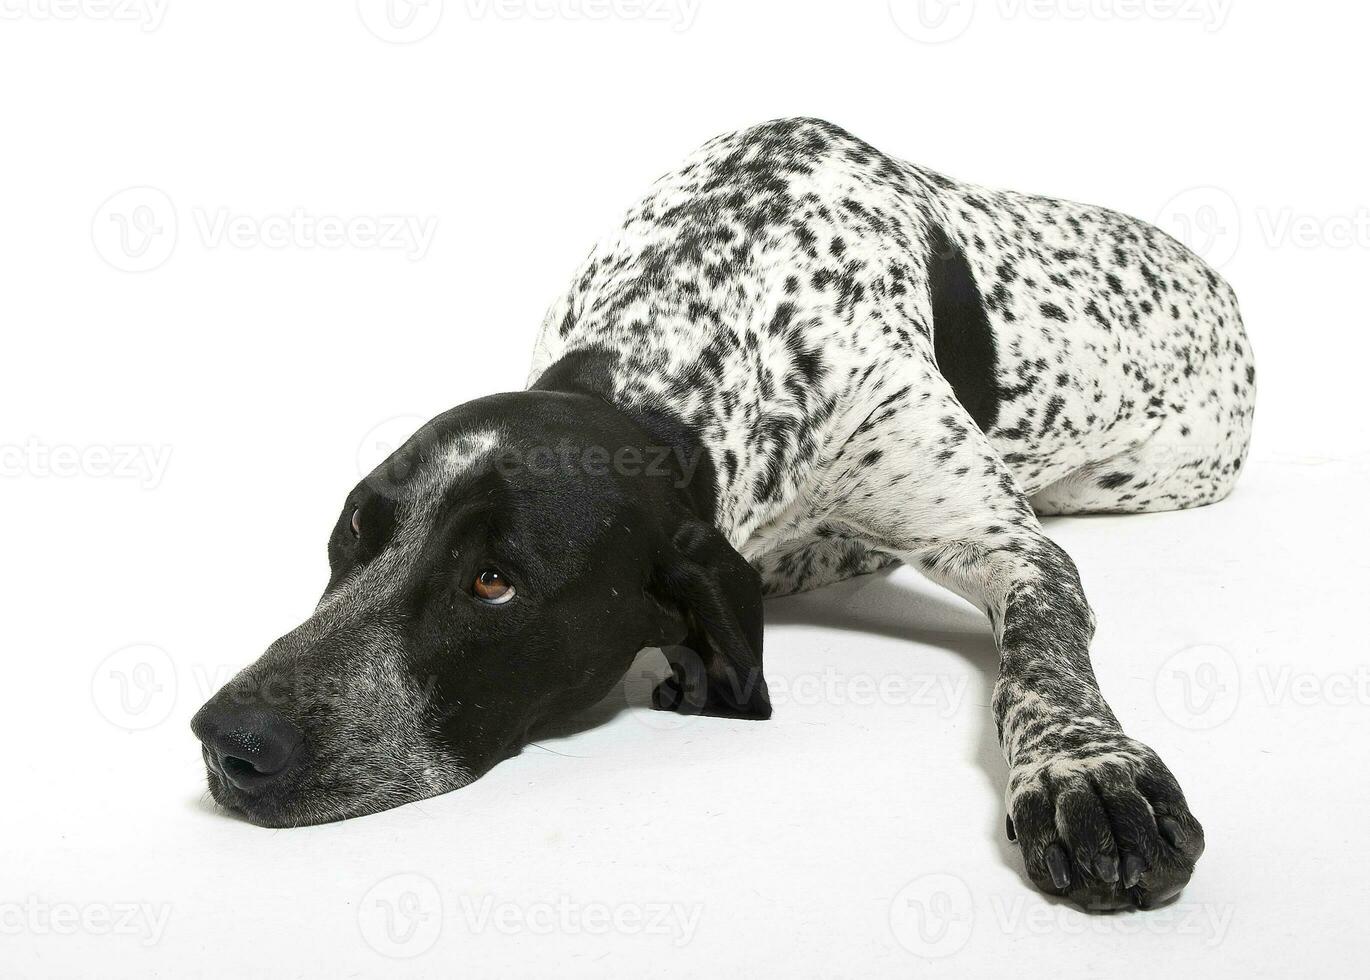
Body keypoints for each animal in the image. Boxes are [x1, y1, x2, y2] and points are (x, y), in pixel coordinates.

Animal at [193, 117, 1254, 910]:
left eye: (492, 584)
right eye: (354, 535)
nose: (228, 737)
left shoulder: (1003, 540)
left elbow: (1041, 652)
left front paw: (1088, 772)